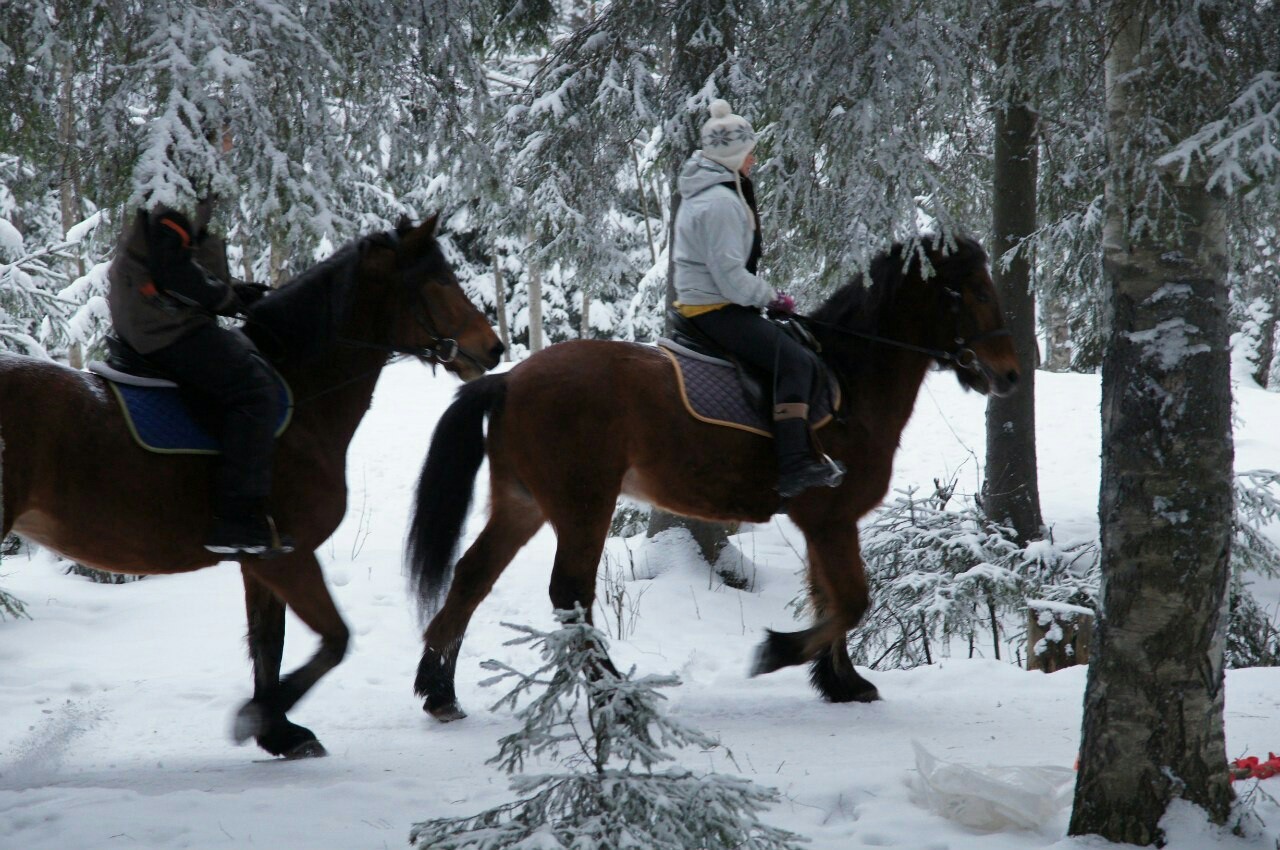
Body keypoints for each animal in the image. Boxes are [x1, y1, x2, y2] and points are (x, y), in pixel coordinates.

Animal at [2, 213, 501, 757]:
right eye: (440, 281)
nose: (493, 347)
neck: (301, 400)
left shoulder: (261, 560)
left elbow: (269, 643)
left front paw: (278, 732)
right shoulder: (288, 556)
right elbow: (334, 640)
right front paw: (259, 718)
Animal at [404, 232, 1024, 716]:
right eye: (973, 292)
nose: (1011, 374)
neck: (848, 381)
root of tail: (509, 379)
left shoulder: (824, 524)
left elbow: (829, 598)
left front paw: (841, 683)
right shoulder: (831, 517)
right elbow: (850, 601)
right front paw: (778, 653)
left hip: (523, 503)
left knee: (472, 577)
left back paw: (440, 690)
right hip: (583, 507)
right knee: (567, 593)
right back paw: (611, 688)